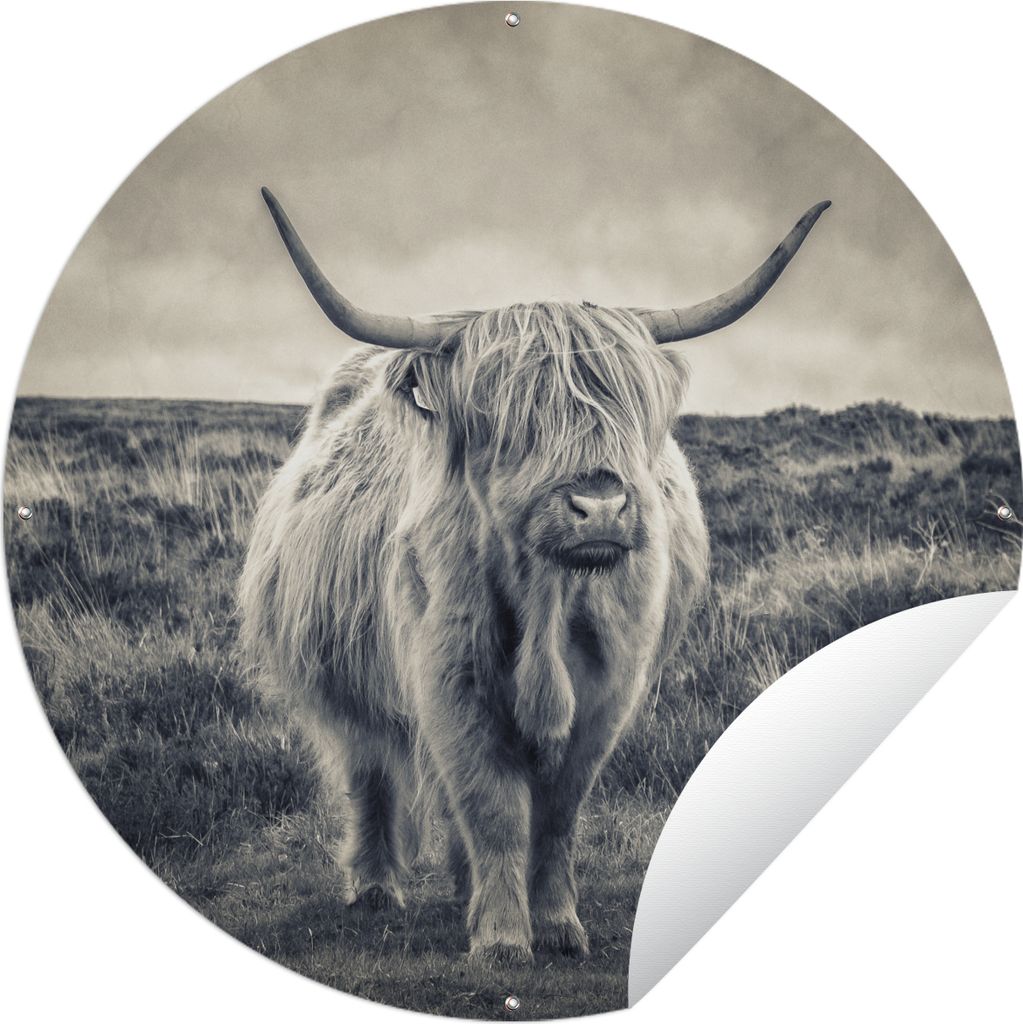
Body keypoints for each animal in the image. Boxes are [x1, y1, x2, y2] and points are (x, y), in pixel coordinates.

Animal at [239, 190, 829, 962]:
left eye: (627, 408)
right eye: (507, 418)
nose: (599, 505)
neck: (548, 599)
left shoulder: (608, 690)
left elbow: (554, 812)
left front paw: (555, 925)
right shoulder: (450, 677)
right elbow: (490, 804)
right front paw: (499, 937)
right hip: (343, 678)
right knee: (369, 771)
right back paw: (375, 887)